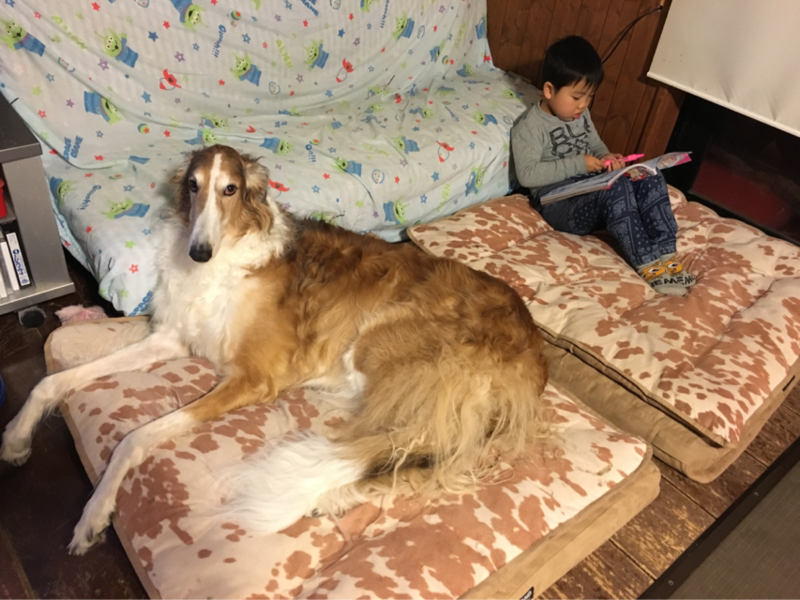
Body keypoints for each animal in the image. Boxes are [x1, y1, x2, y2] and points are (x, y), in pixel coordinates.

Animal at [1, 144, 548, 554]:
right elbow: (51, 380)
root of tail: (532, 350)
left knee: (405, 451)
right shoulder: (171, 337)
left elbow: (134, 437)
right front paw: (16, 438)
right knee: (422, 459)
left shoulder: (253, 378)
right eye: (193, 186)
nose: (199, 251)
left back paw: (333, 493)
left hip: (384, 349)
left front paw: (94, 514)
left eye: (230, 189)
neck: (228, 256)